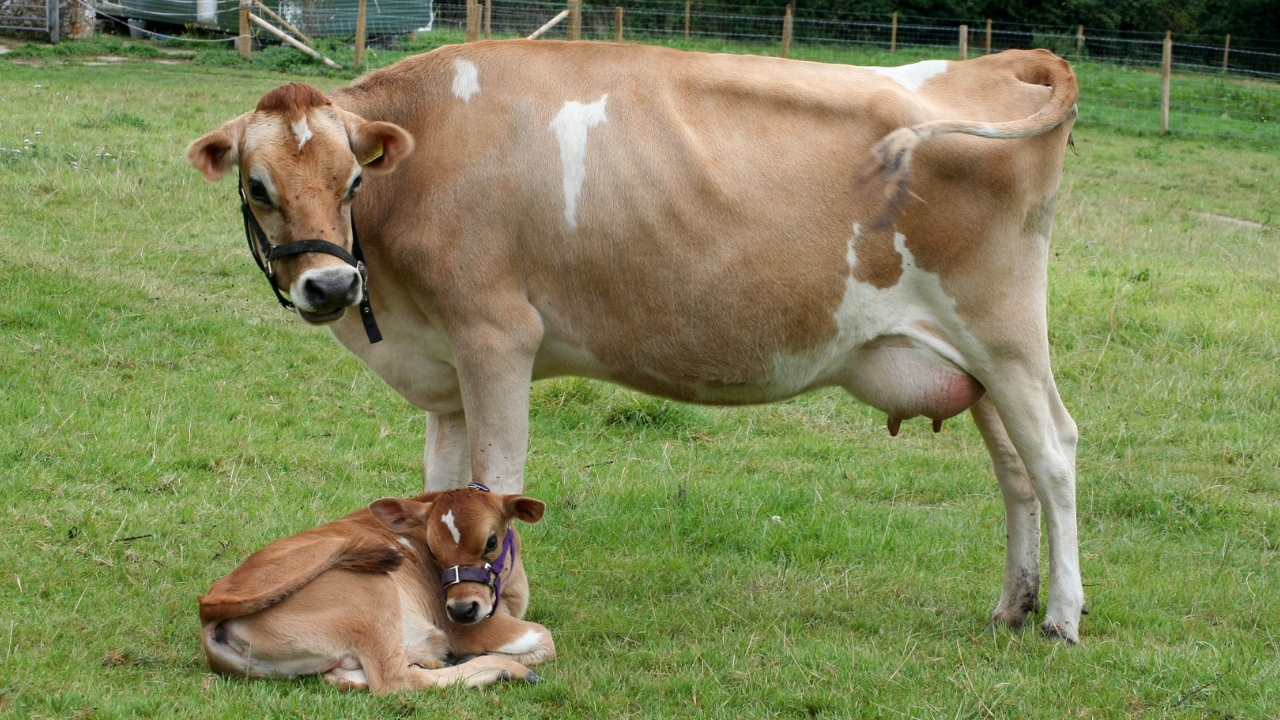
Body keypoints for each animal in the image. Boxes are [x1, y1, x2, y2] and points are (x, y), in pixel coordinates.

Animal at [187, 42, 1084, 642]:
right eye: (258, 188)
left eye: (351, 180)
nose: (331, 288)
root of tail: (1002, 61)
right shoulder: (442, 367)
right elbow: (440, 489)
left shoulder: (496, 336)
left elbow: (497, 481)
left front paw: (502, 607)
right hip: (972, 360)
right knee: (1013, 473)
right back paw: (1012, 604)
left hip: (1005, 334)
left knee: (1052, 453)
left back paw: (1061, 616)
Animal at [199, 486, 555, 691]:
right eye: (433, 550)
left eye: (491, 542)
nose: (462, 609)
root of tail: (210, 604)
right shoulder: (471, 629)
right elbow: (544, 639)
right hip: (371, 589)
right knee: (395, 680)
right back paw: (505, 670)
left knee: (344, 677)